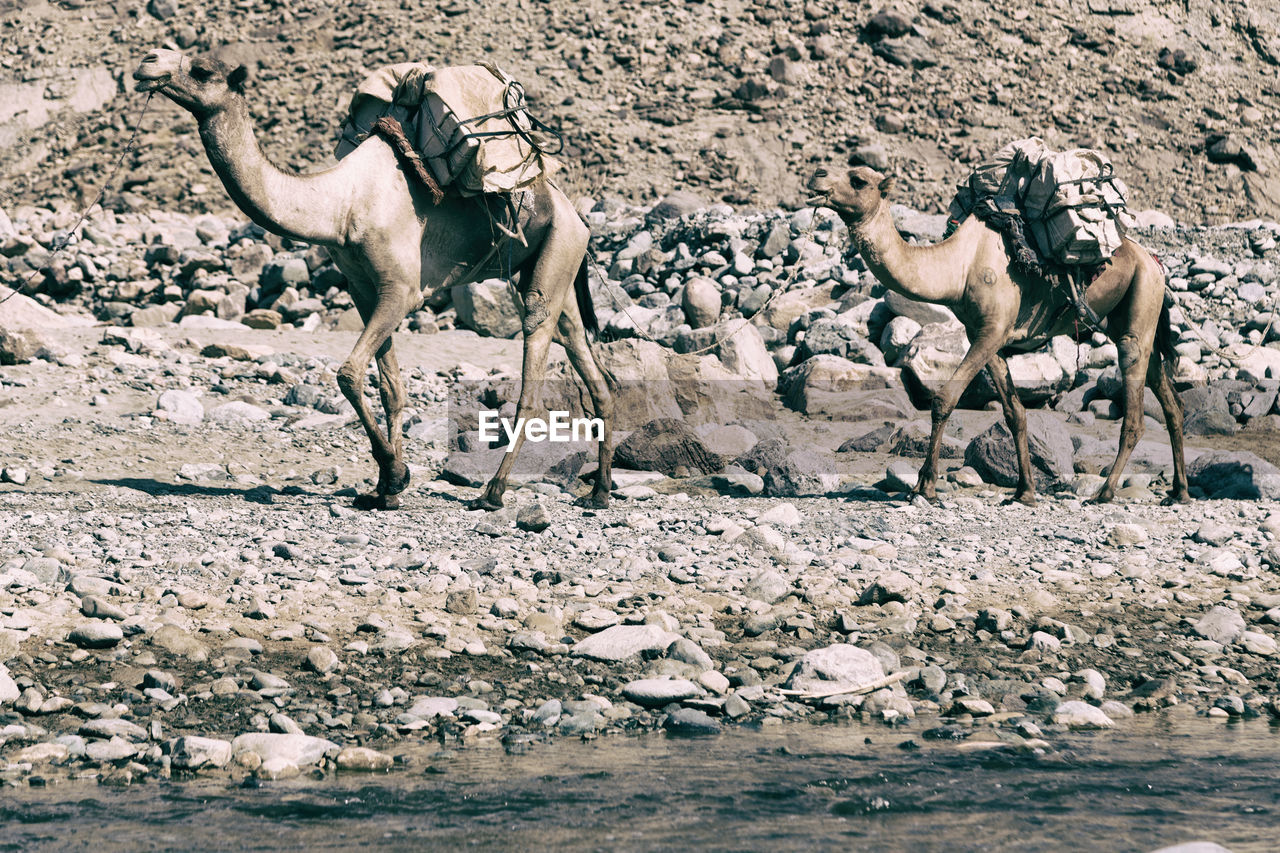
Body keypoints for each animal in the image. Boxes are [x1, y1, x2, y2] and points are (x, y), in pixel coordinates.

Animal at [132, 49, 611, 507]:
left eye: (200, 70)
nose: (147, 61)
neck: (340, 206)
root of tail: (577, 215)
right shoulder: (363, 288)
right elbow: (390, 388)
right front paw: (385, 490)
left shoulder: (402, 290)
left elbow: (348, 373)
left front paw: (395, 473)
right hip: (558, 263)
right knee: (587, 360)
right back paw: (599, 492)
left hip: (556, 249)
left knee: (534, 355)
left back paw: (492, 493)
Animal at [808, 162, 1187, 502]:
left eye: (858, 179)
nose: (816, 176)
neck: (959, 267)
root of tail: (1154, 262)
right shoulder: (986, 334)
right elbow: (1014, 412)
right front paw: (1025, 492)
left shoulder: (991, 332)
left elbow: (944, 399)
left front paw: (925, 486)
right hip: (1131, 315)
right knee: (1170, 400)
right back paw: (1179, 492)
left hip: (1141, 302)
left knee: (1134, 408)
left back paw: (1105, 493)